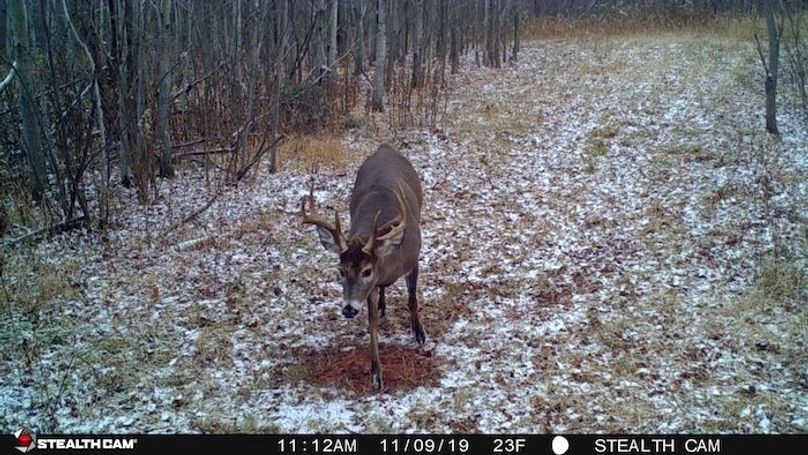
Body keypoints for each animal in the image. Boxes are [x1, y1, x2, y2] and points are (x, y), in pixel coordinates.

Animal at [301, 144, 425, 391]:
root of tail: (384, 148)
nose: (349, 309)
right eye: (340, 270)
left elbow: (412, 299)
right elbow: (372, 324)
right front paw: (376, 375)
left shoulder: (413, 258)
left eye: (367, 270)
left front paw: (419, 334)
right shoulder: (370, 288)